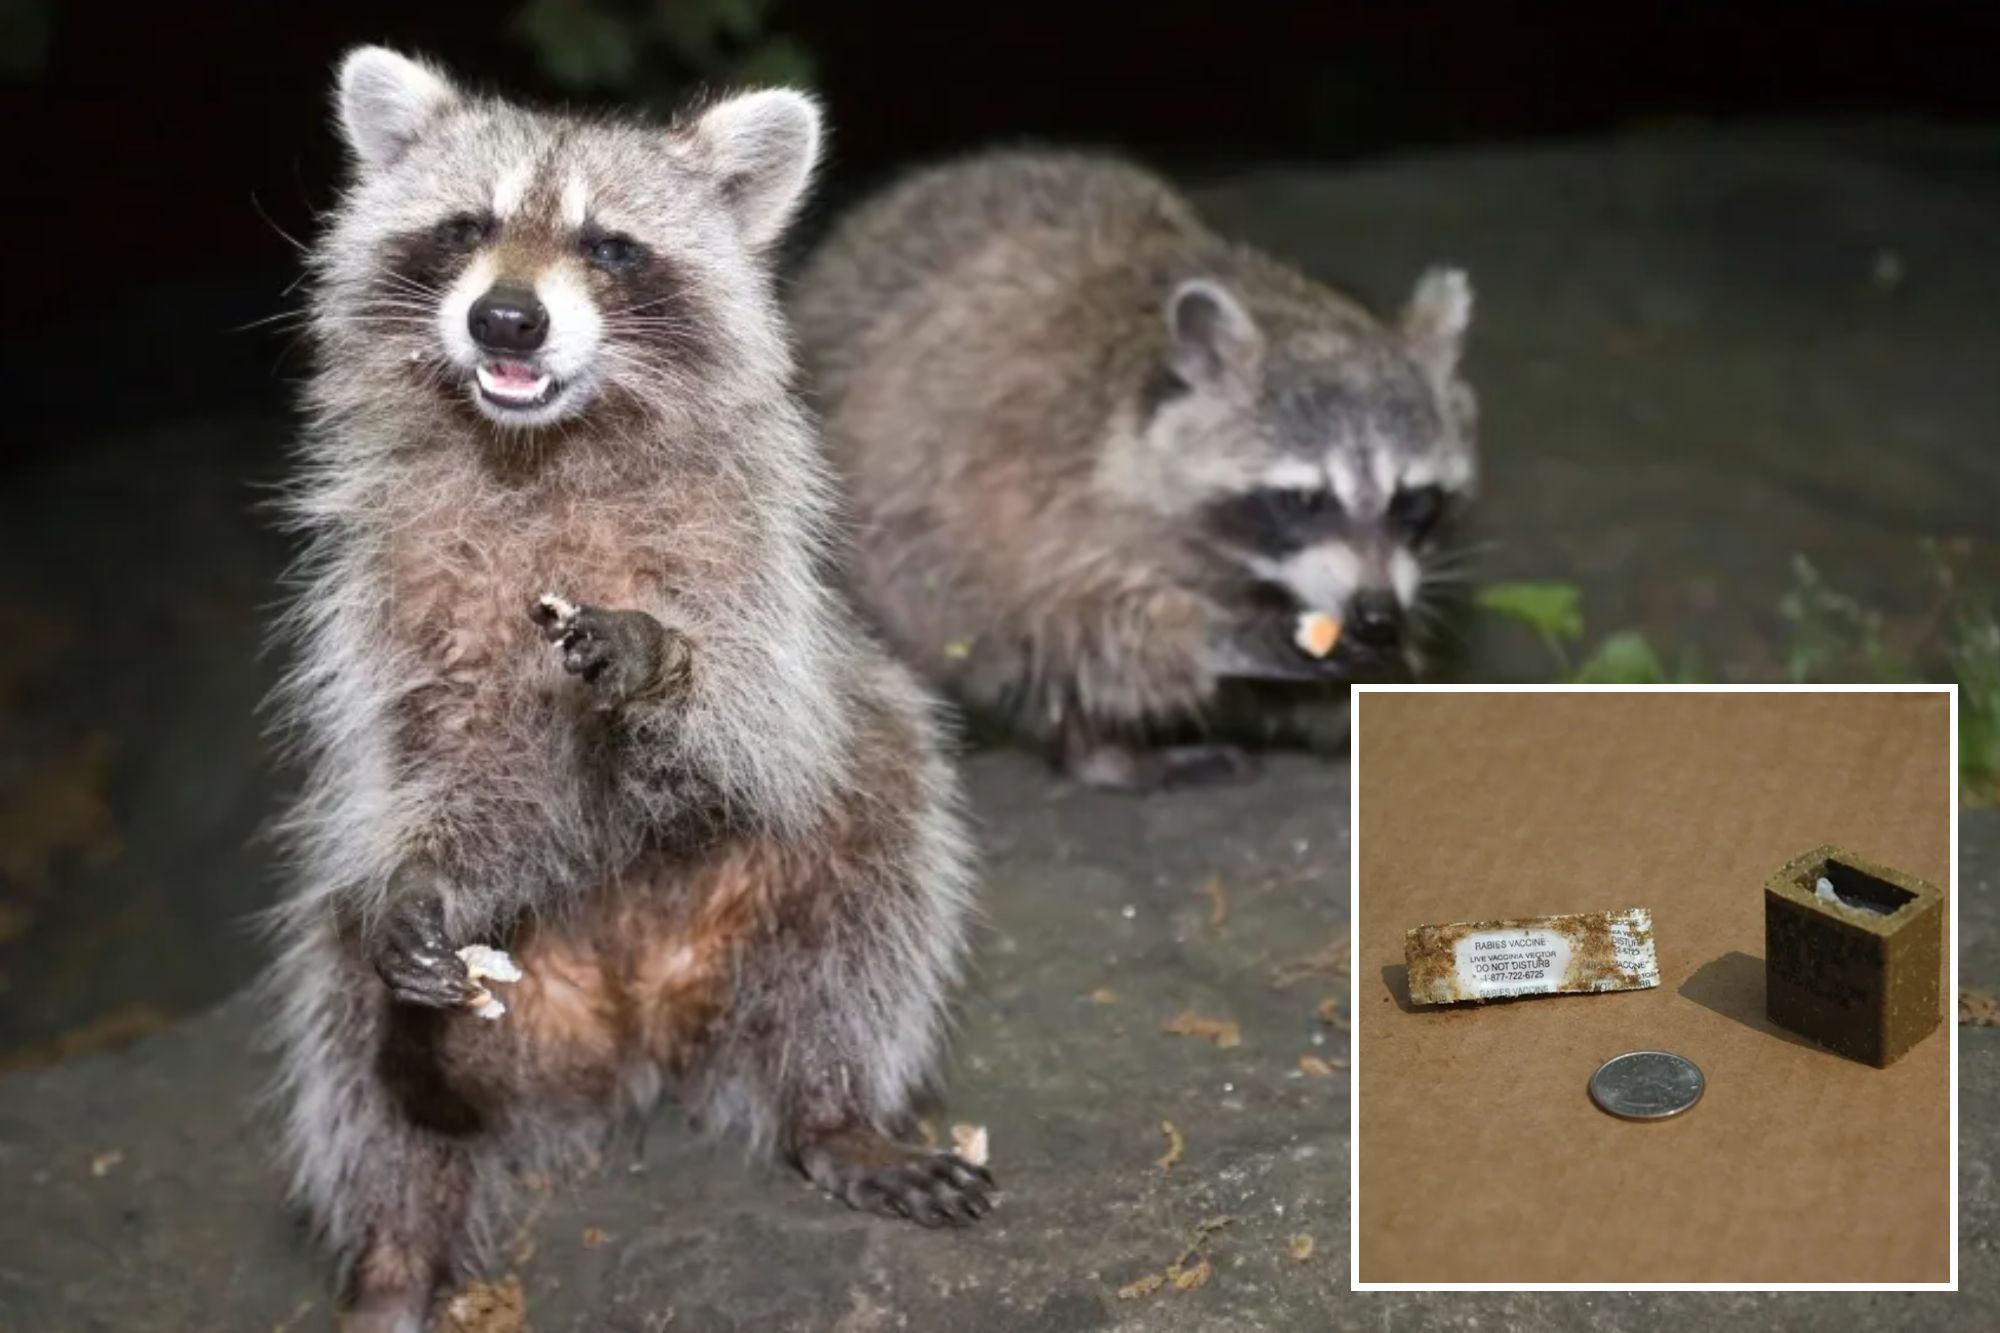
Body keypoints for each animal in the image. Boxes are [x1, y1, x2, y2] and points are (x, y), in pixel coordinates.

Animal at [264, 48, 992, 1331]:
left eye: (608, 245)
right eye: (467, 228)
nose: (506, 316)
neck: (539, 447)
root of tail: (633, 1026)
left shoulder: (754, 564)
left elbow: (755, 719)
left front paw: (662, 664)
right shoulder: (394, 595)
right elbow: (455, 762)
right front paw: (427, 871)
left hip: (809, 874)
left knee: (873, 873)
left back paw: (833, 1107)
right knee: (360, 1035)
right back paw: (394, 1251)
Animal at [790, 151, 1477, 792]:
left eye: (1413, 502)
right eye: (1303, 501)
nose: (1377, 614)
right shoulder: (1042, 493)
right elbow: (1090, 624)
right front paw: (1228, 639)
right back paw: (1097, 750)